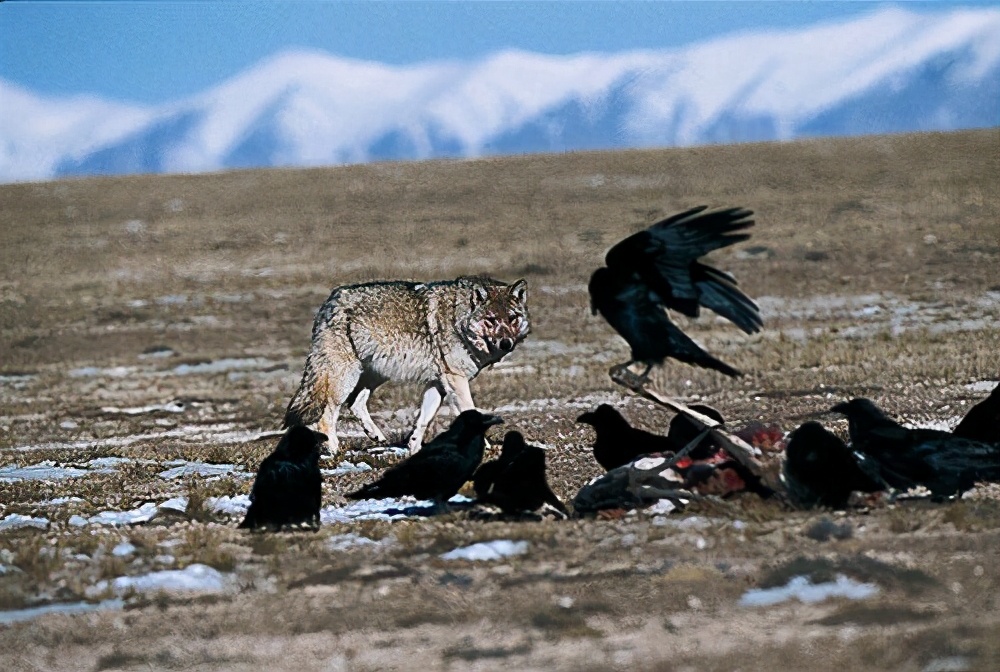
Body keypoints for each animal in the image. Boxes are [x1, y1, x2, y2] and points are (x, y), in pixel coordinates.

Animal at [284, 276, 532, 454]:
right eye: (491, 320)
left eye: (512, 319)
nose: (506, 343)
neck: (457, 319)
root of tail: (331, 300)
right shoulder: (456, 380)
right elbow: (470, 412)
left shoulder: (438, 384)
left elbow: (422, 420)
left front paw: (413, 448)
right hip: (345, 378)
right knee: (326, 417)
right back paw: (335, 451)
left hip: (374, 374)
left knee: (355, 404)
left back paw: (378, 438)